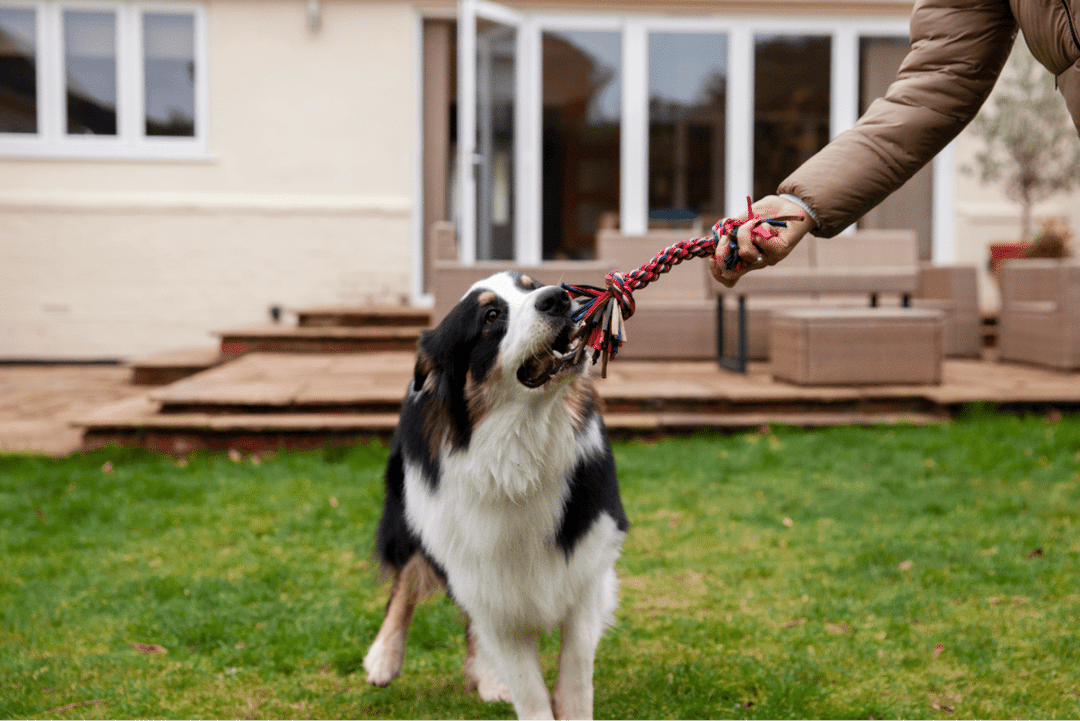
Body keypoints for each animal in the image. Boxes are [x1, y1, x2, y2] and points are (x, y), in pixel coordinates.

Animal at [362, 271, 630, 721]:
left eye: (532, 285)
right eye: (490, 317)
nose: (558, 298)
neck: (517, 455)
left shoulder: (587, 568)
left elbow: (576, 672)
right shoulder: (480, 575)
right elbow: (529, 690)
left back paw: (485, 676)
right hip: (412, 514)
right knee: (405, 579)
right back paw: (384, 656)